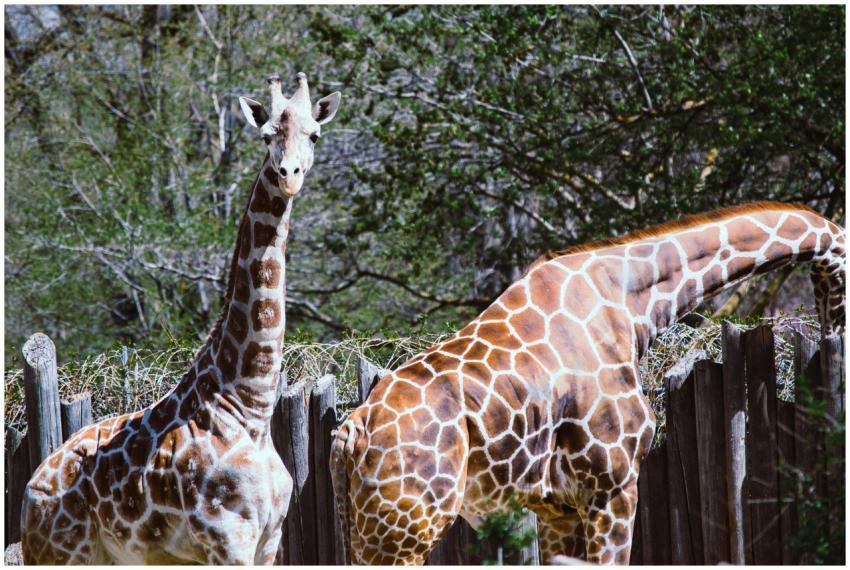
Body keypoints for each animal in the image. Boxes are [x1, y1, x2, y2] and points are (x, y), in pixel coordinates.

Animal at [20, 72, 341, 564]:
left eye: (314, 135)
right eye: (267, 136)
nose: (289, 176)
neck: (251, 406)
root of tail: (28, 490)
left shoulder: (270, 539)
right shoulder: (227, 539)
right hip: (61, 553)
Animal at [331, 201, 845, 565]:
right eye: (835, 283)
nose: (833, 334)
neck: (632, 303)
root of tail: (352, 431)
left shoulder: (556, 506)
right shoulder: (613, 484)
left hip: (366, 530)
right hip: (407, 532)